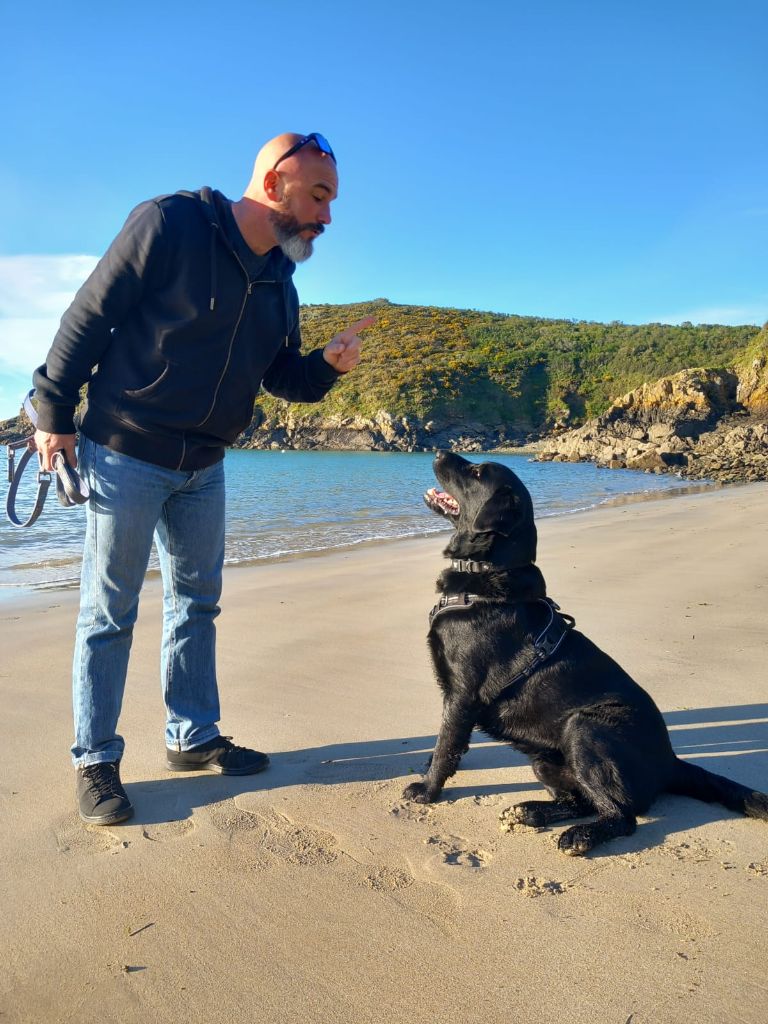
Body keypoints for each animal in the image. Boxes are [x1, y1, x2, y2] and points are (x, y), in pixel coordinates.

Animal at [403, 454, 768, 856]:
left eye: (478, 472)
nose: (438, 455)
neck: (489, 572)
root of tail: (670, 761)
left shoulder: (462, 694)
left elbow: (447, 746)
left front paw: (426, 789)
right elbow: (447, 744)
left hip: (585, 728)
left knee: (622, 816)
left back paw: (581, 836)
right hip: (545, 757)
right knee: (580, 800)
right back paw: (532, 811)